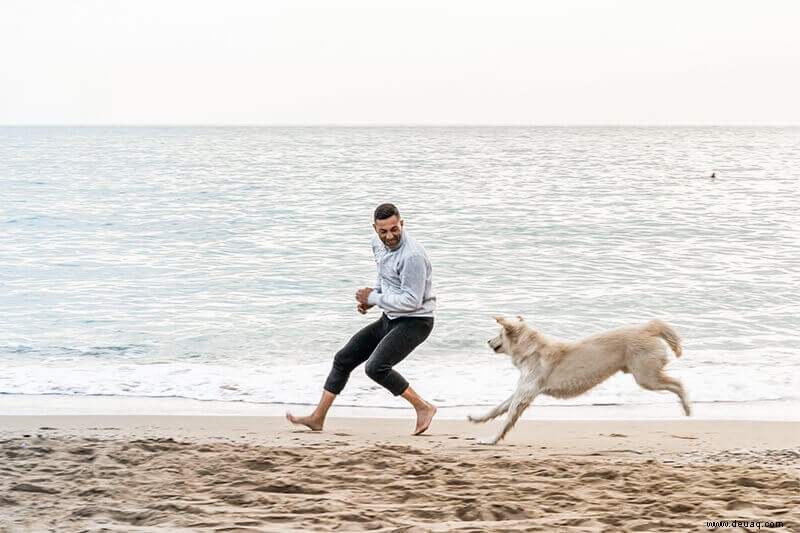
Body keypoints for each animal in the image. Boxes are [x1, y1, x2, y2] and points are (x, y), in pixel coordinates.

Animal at [468, 316, 688, 444]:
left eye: (498, 333)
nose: (488, 341)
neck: (531, 350)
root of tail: (647, 328)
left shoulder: (525, 394)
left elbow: (506, 420)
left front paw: (491, 440)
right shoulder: (521, 391)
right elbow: (497, 408)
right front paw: (478, 418)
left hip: (646, 377)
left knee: (678, 384)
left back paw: (687, 408)